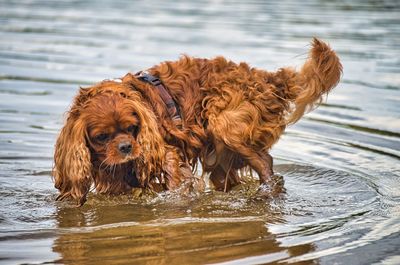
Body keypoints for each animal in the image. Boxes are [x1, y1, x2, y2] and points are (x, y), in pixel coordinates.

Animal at [52, 38, 340, 205]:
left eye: (132, 128)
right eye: (101, 137)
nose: (126, 147)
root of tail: (267, 78)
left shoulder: (167, 154)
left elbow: (176, 182)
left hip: (226, 125)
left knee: (265, 162)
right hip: (221, 156)